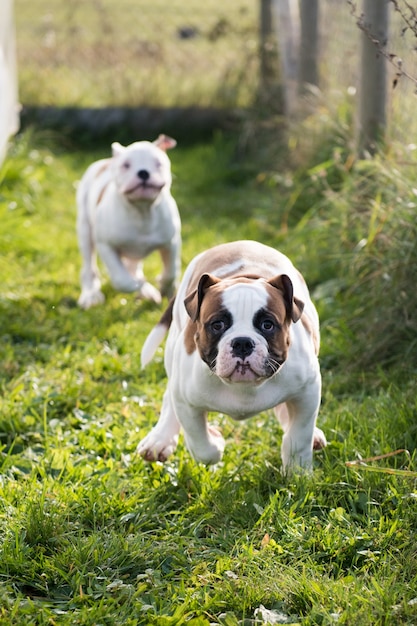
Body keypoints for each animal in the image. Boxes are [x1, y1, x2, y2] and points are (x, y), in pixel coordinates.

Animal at [76, 134, 180, 308]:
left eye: (158, 163)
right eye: (126, 165)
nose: (143, 172)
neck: (142, 212)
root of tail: (106, 161)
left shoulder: (171, 242)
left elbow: (171, 272)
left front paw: (166, 288)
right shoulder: (106, 246)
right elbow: (122, 281)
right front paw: (138, 284)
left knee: (133, 267)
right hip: (85, 231)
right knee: (89, 267)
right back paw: (91, 295)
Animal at [136, 241, 324, 470]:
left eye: (267, 325)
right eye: (217, 325)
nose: (242, 343)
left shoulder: (308, 391)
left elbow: (299, 437)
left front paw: (298, 472)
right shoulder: (186, 402)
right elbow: (201, 446)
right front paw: (215, 441)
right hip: (173, 353)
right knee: (168, 396)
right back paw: (160, 440)